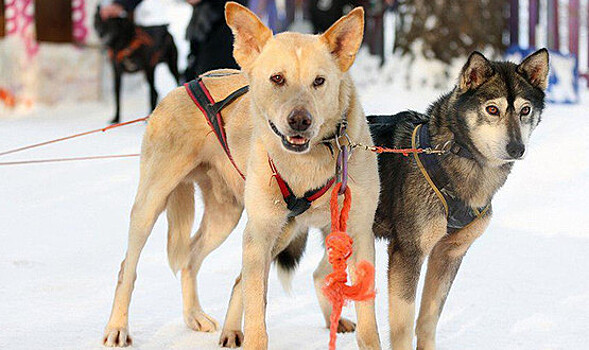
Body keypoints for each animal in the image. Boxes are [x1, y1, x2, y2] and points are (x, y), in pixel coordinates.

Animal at [103, 3, 378, 350]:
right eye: (277, 78)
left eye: (319, 81)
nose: (300, 121)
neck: (307, 167)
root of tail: (185, 86)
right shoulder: (259, 235)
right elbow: (257, 316)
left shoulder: (358, 235)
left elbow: (368, 326)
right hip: (152, 205)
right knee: (128, 268)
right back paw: (117, 327)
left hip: (233, 220)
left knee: (192, 259)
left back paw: (196, 316)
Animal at [370, 49, 548, 350]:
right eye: (492, 109)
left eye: (525, 110)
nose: (516, 148)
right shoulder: (407, 253)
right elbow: (403, 326)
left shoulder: (450, 253)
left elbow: (428, 319)